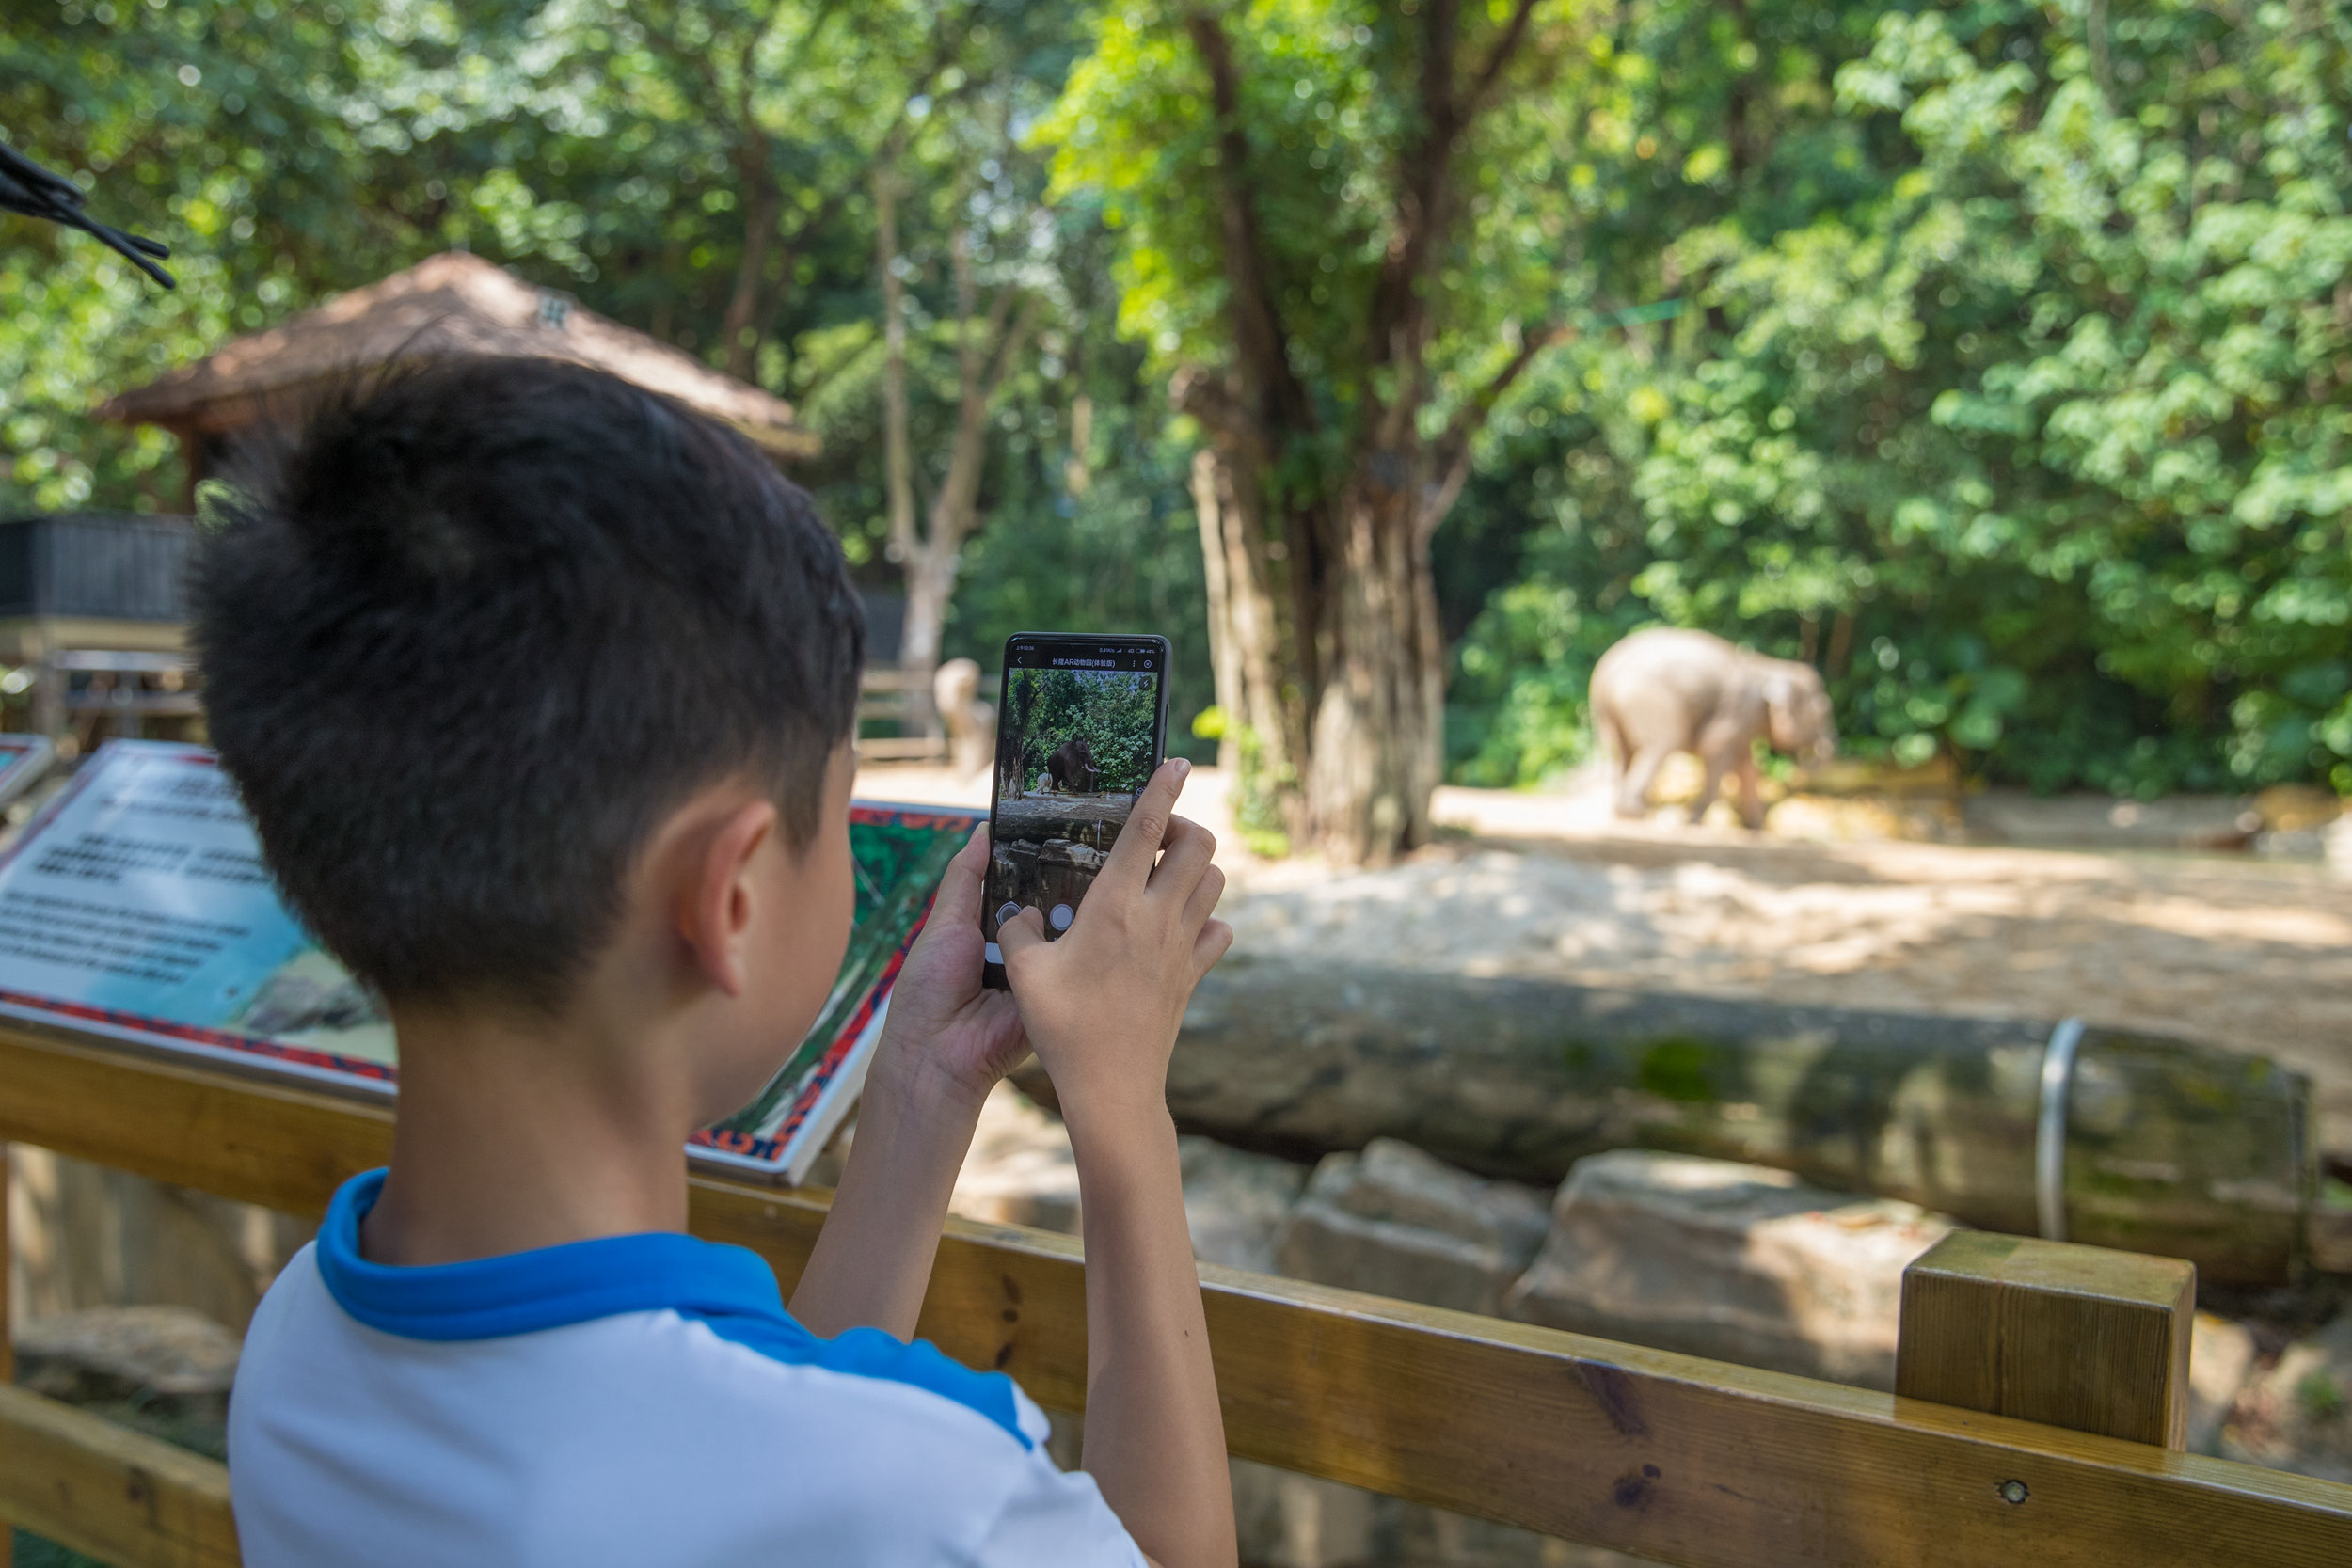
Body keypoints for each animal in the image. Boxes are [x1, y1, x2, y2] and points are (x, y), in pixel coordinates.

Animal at [1589, 627, 1837, 828]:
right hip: (1651, 705)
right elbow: (1715, 751)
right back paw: (1635, 813)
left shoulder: (1741, 722)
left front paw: (1755, 827)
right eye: (1824, 710)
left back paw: (1624, 812)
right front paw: (1693, 820)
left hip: (1607, 714)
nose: (1806, 764)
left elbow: (1746, 764)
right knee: (1660, 745)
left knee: (1620, 753)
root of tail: (1606, 673)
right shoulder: (1736, 713)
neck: (1769, 665)